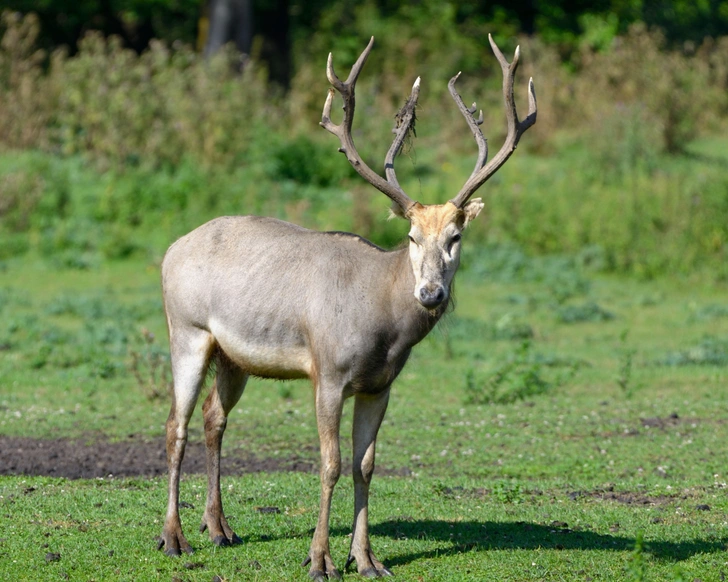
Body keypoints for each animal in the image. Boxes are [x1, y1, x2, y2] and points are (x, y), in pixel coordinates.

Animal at [158, 34, 536, 580]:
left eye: (456, 236)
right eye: (411, 236)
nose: (430, 294)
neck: (381, 326)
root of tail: (169, 250)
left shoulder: (380, 384)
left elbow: (365, 465)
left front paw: (368, 559)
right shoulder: (330, 371)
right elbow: (330, 462)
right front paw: (320, 559)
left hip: (233, 356)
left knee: (213, 417)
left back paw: (220, 528)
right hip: (185, 329)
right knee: (175, 425)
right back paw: (174, 538)